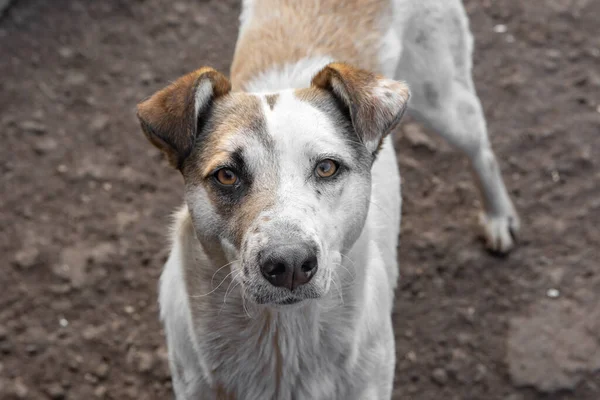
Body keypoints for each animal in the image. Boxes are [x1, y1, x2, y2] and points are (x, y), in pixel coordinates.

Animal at [136, 0, 520, 398]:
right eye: (226, 175)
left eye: (326, 167)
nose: (289, 264)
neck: (283, 341)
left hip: (444, 100)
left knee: (482, 151)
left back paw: (497, 218)